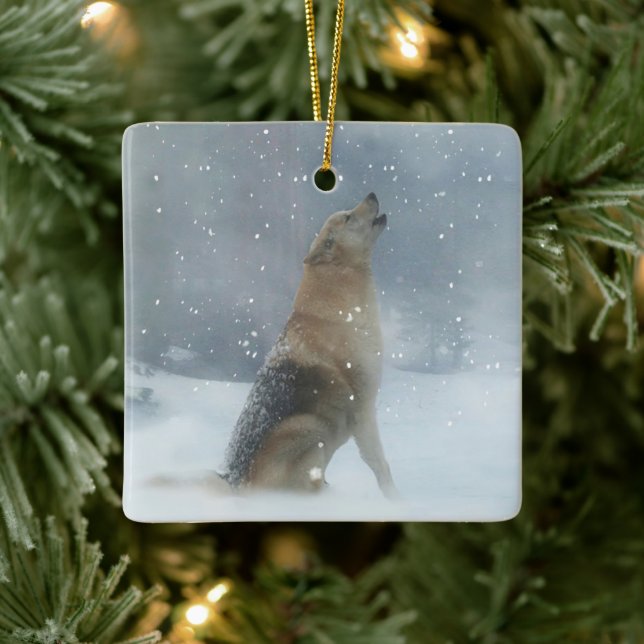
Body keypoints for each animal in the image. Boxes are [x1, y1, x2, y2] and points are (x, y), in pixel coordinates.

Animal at [222, 193, 397, 498]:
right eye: (348, 217)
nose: (372, 194)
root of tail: (236, 484)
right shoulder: (364, 409)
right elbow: (379, 464)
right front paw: (395, 499)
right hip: (310, 430)